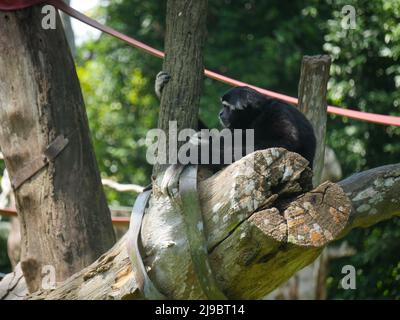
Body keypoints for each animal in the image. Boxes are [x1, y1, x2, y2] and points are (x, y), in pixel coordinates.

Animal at [155, 70, 316, 168]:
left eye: (226, 107)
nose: (220, 113)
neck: (257, 115)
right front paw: (160, 87)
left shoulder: (278, 111)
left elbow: (287, 142)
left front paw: (203, 151)